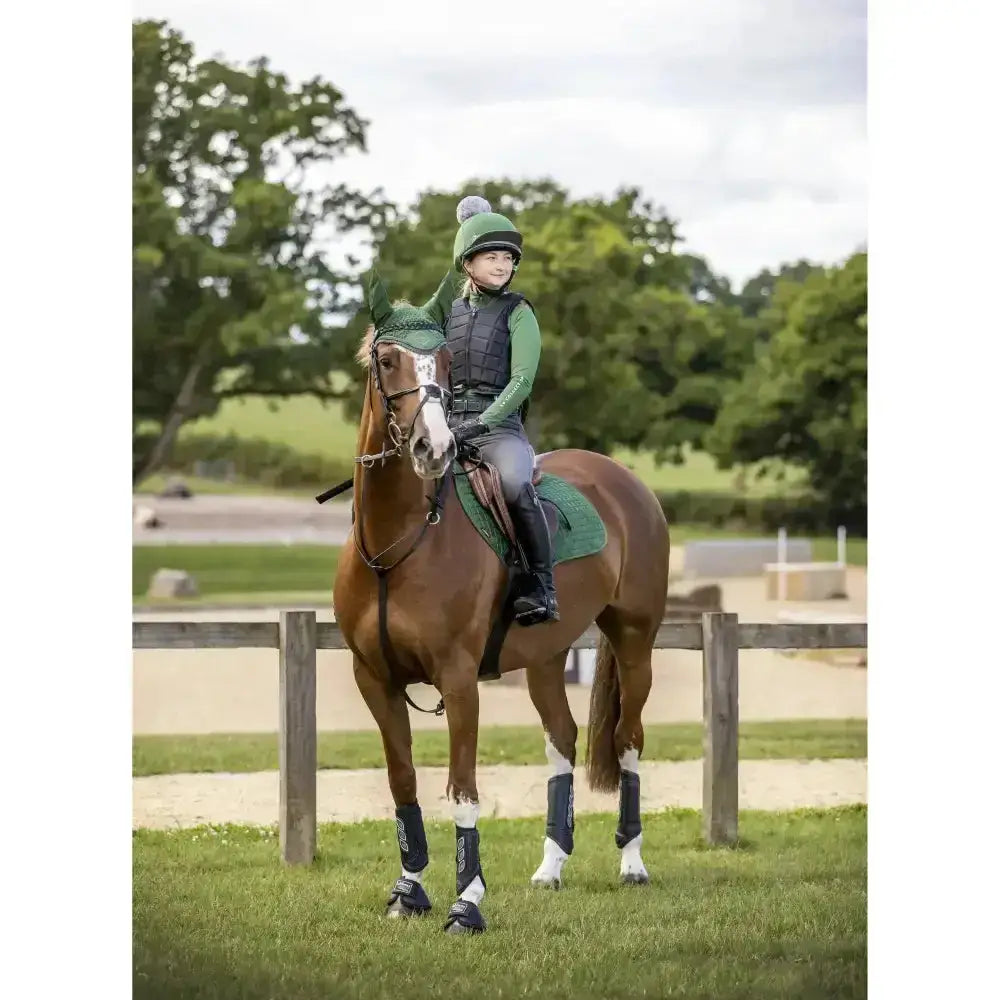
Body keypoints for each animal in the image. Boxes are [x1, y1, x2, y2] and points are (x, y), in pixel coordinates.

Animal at [332, 308, 670, 935]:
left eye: (444, 362)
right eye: (387, 361)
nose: (434, 445)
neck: (398, 544)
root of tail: (623, 479)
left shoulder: (459, 679)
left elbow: (463, 789)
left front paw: (467, 903)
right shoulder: (375, 679)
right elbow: (403, 781)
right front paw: (409, 892)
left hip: (635, 641)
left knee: (628, 740)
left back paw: (632, 863)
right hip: (545, 659)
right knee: (562, 740)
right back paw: (551, 867)